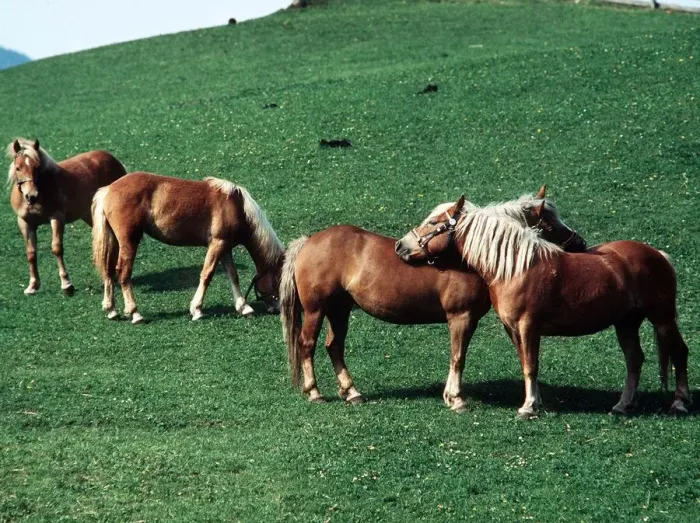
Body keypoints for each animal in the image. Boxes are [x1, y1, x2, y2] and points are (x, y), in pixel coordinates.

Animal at [7, 138, 127, 295]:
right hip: (90, 215)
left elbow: (57, 248)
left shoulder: (57, 218)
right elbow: (31, 253)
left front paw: (66, 284)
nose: (31, 196)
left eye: (37, 167)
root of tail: (113, 159)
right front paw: (32, 285)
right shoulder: (25, 223)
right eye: (18, 168)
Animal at [91, 172, 284, 323]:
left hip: (114, 241)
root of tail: (109, 189)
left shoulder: (225, 248)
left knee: (108, 271)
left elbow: (233, 275)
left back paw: (111, 310)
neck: (237, 207)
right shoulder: (217, 244)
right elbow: (207, 274)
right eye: (279, 282)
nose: (278, 309)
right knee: (123, 273)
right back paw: (135, 313)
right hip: (129, 241)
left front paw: (243, 307)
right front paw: (197, 309)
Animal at [280, 187, 586, 410]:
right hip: (316, 310)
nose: (580, 242)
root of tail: (308, 241)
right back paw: (314, 392)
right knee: (307, 344)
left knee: (334, 346)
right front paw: (456, 399)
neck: (469, 259)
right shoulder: (461, 317)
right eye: (551, 224)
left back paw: (352, 392)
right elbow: (458, 357)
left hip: (339, 309)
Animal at [396, 196, 692, 417]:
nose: (401, 246)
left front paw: (527, 408)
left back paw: (679, 403)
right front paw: (535, 401)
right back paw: (622, 404)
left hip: (662, 318)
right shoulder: (513, 328)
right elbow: (526, 363)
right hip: (627, 322)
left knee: (679, 353)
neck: (516, 268)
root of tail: (658, 255)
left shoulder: (529, 326)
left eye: (433, 222)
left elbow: (531, 365)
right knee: (634, 359)